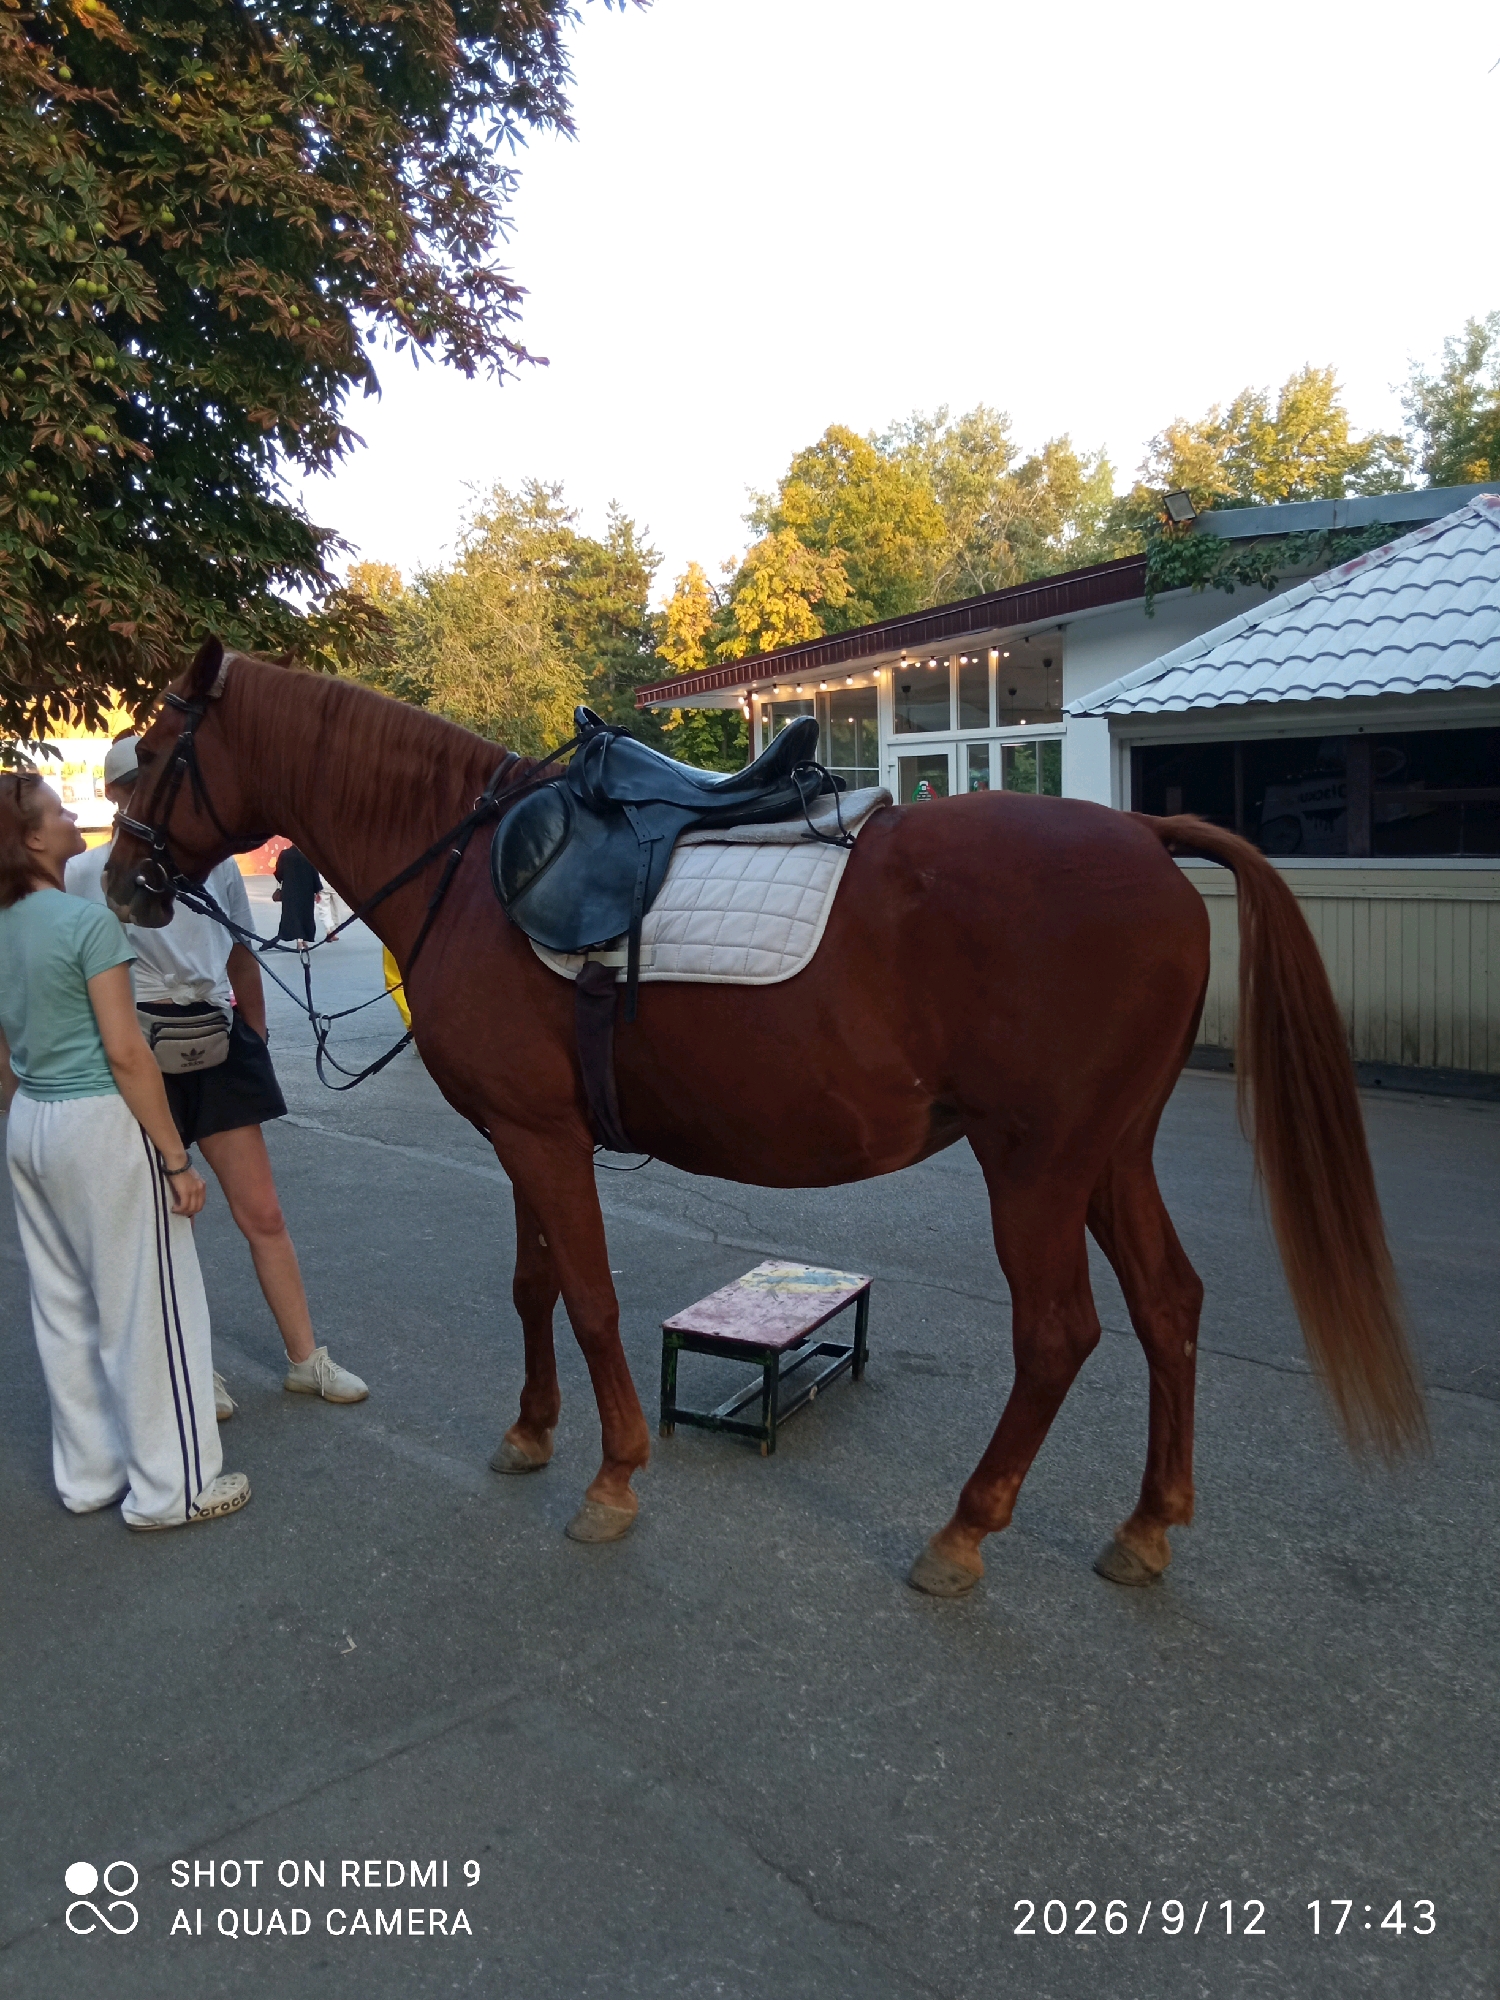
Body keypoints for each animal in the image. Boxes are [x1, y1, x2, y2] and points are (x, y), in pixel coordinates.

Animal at [105, 640, 1426, 1597]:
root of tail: (1148, 835)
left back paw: (965, 1529)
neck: (474, 869)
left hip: (1036, 1164)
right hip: (1111, 1153)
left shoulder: (541, 1139)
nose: (120, 881)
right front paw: (533, 1429)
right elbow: (535, 1286)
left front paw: (614, 1476)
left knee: (1060, 1333)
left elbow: (590, 1298)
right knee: (1170, 1306)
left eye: (154, 751)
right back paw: (1149, 1522)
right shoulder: (526, 1137)